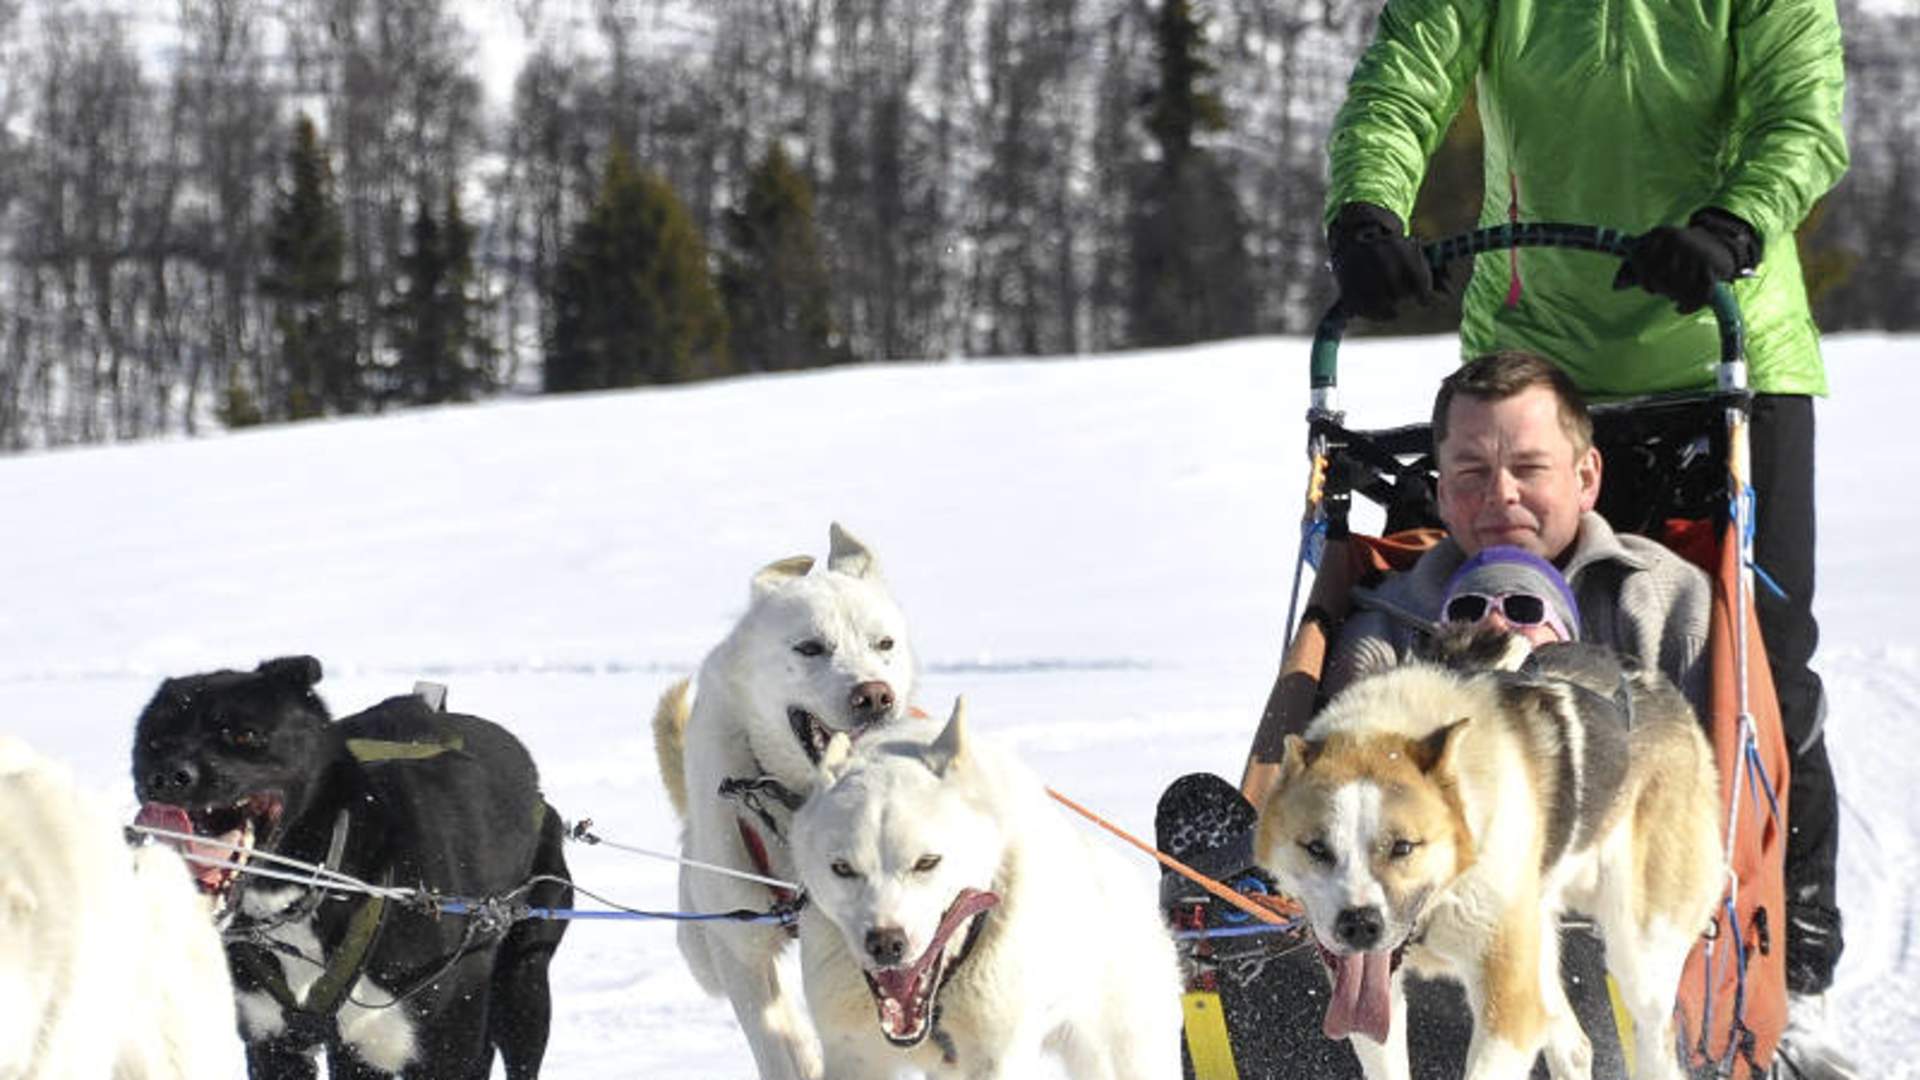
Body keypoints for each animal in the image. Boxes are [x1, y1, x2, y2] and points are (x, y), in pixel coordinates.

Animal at [1259, 645, 1728, 1076]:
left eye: (1404, 847)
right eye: (1317, 848)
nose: (1359, 924)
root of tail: (1664, 692)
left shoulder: (1508, 1006)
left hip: (1638, 957)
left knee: (1655, 1036)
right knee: (1575, 1046)